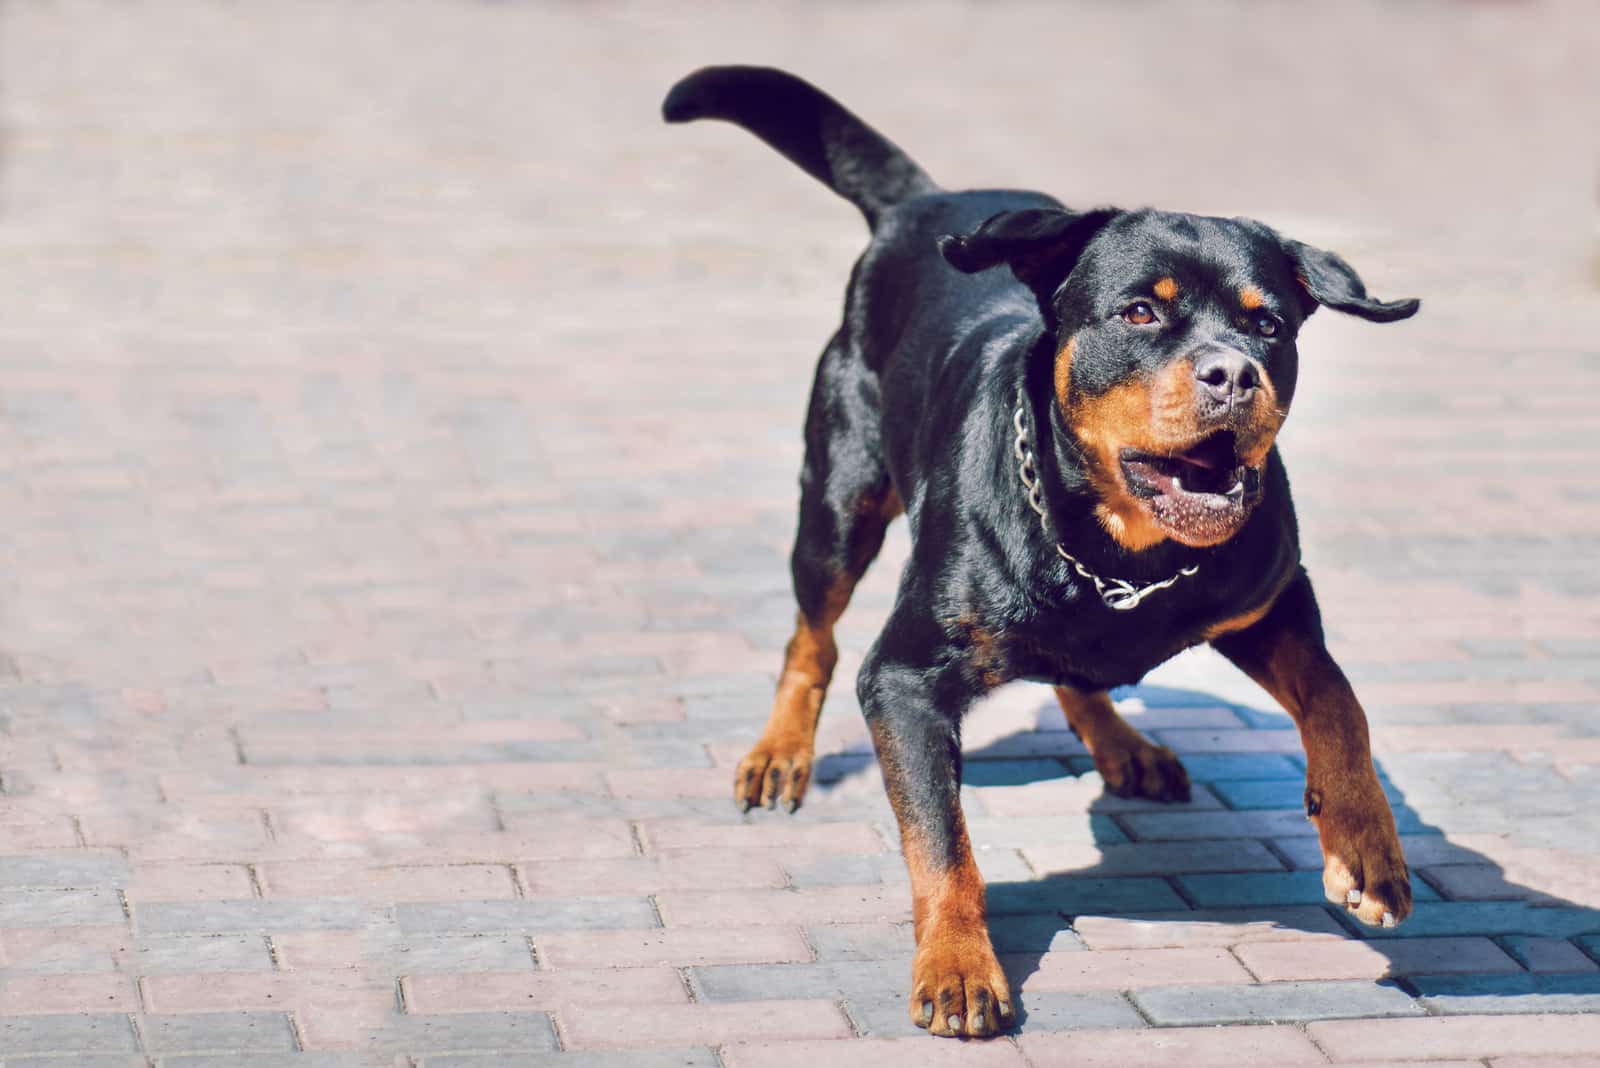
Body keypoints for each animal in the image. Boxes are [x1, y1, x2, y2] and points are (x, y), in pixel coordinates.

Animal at [662, 64, 1427, 1036]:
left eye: (1269, 326)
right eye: (1139, 313)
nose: (1232, 374)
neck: (1125, 552)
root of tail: (926, 202)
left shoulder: (1271, 597)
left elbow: (1337, 699)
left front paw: (1365, 846)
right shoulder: (904, 677)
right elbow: (942, 842)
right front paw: (957, 963)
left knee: (1076, 674)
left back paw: (1124, 744)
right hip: (839, 495)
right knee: (814, 634)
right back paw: (780, 755)